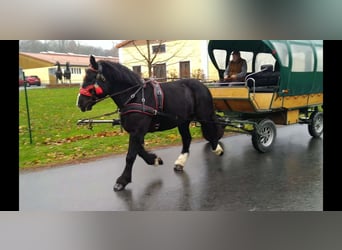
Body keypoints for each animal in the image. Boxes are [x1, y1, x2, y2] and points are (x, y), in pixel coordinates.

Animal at [77, 55, 224, 191]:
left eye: (91, 78)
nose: (80, 103)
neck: (134, 96)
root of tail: (202, 85)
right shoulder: (136, 132)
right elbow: (140, 151)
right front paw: (154, 159)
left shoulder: (137, 131)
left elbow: (130, 156)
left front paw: (122, 181)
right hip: (182, 121)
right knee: (187, 138)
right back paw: (180, 162)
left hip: (204, 115)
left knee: (211, 130)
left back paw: (217, 148)